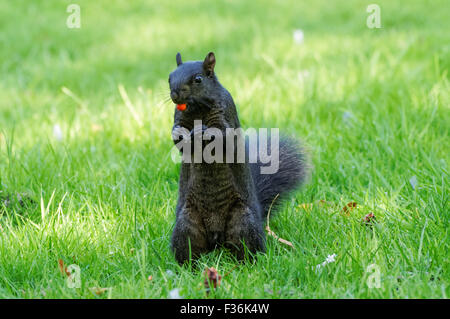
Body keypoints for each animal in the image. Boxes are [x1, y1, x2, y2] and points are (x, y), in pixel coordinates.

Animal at [169, 51, 310, 264]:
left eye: (198, 79)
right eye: (170, 77)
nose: (175, 95)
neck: (197, 110)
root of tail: (217, 240)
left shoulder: (225, 113)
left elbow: (224, 137)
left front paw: (204, 132)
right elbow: (179, 140)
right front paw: (178, 132)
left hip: (243, 222)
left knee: (247, 248)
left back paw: (248, 263)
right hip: (187, 224)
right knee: (190, 248)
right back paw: (187, 266)